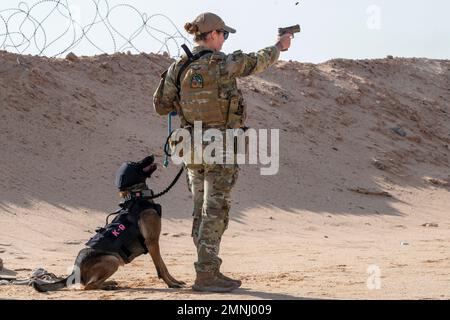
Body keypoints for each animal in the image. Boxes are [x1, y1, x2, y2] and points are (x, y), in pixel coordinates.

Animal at [32, 155, 185, 292]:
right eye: (135, 163)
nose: (152, 156)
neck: (136, 196)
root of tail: (74, 273)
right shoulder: (152, 242)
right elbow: (161, 267)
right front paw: (171, 284)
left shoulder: (154, 243)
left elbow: (163, 265)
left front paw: (175, 281)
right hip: (112, 260)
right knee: (88, 286)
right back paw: (108, 286)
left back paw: (110, 282)